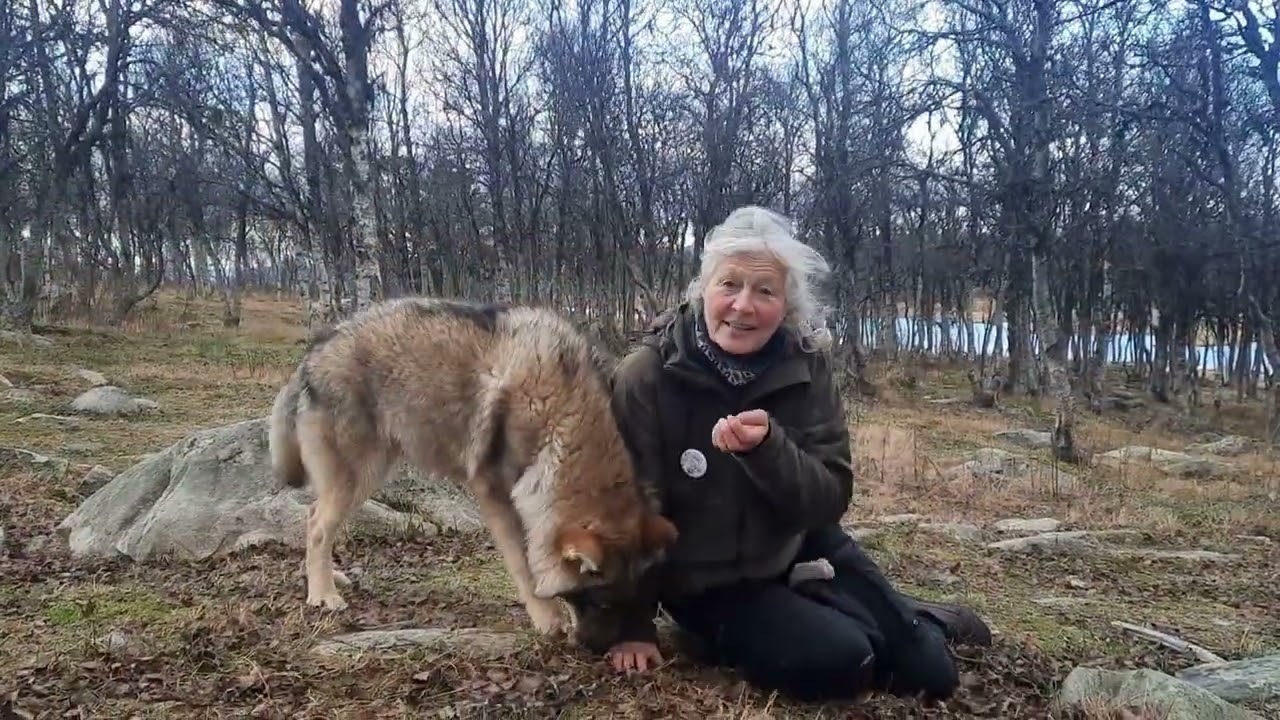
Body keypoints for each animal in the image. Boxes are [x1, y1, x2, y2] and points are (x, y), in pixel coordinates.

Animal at [267, 296, 678, 636]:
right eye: (601, 603)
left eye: (629, 603)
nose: (600, 651)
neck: (560, 419)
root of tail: (312, 354)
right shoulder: (497, 496)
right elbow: (525, 565)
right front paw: (549, 621)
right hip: (359, 476)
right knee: (317, 525)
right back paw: (323, 595)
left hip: (370, 475)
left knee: (314, 519)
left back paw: (328, 578)